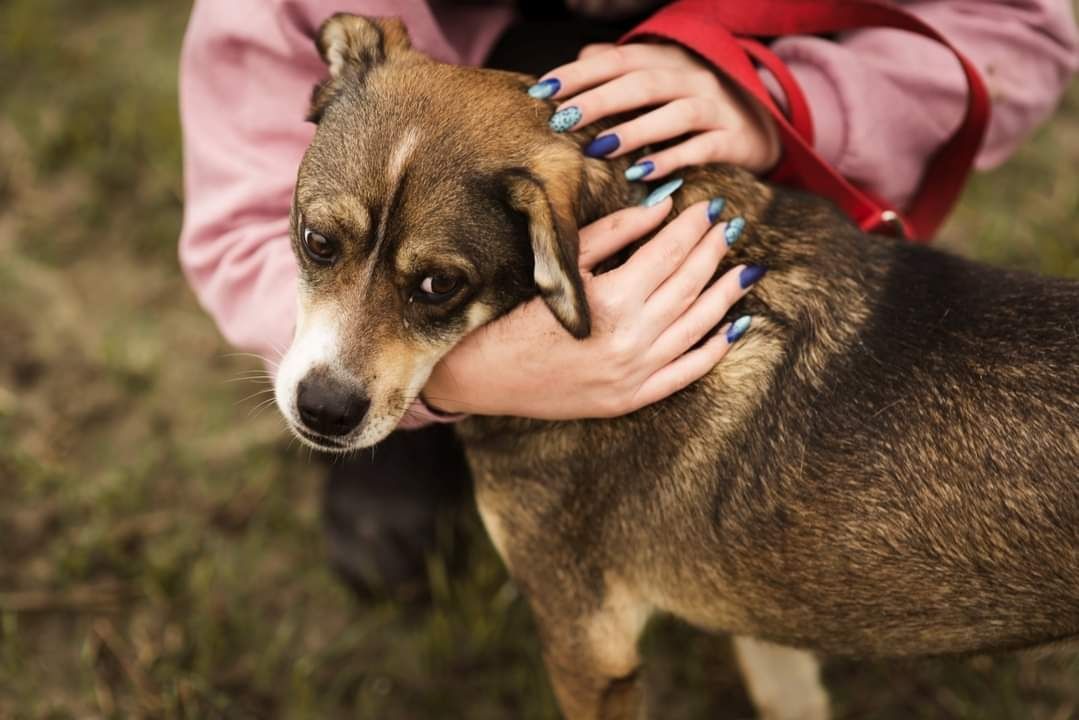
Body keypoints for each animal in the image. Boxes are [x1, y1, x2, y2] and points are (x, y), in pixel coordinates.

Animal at [271, 15, 1079, 720]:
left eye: (441, 286)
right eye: (317, 241)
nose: (323, 411)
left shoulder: (586, 641)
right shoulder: (754, 613)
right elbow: (788, 693)